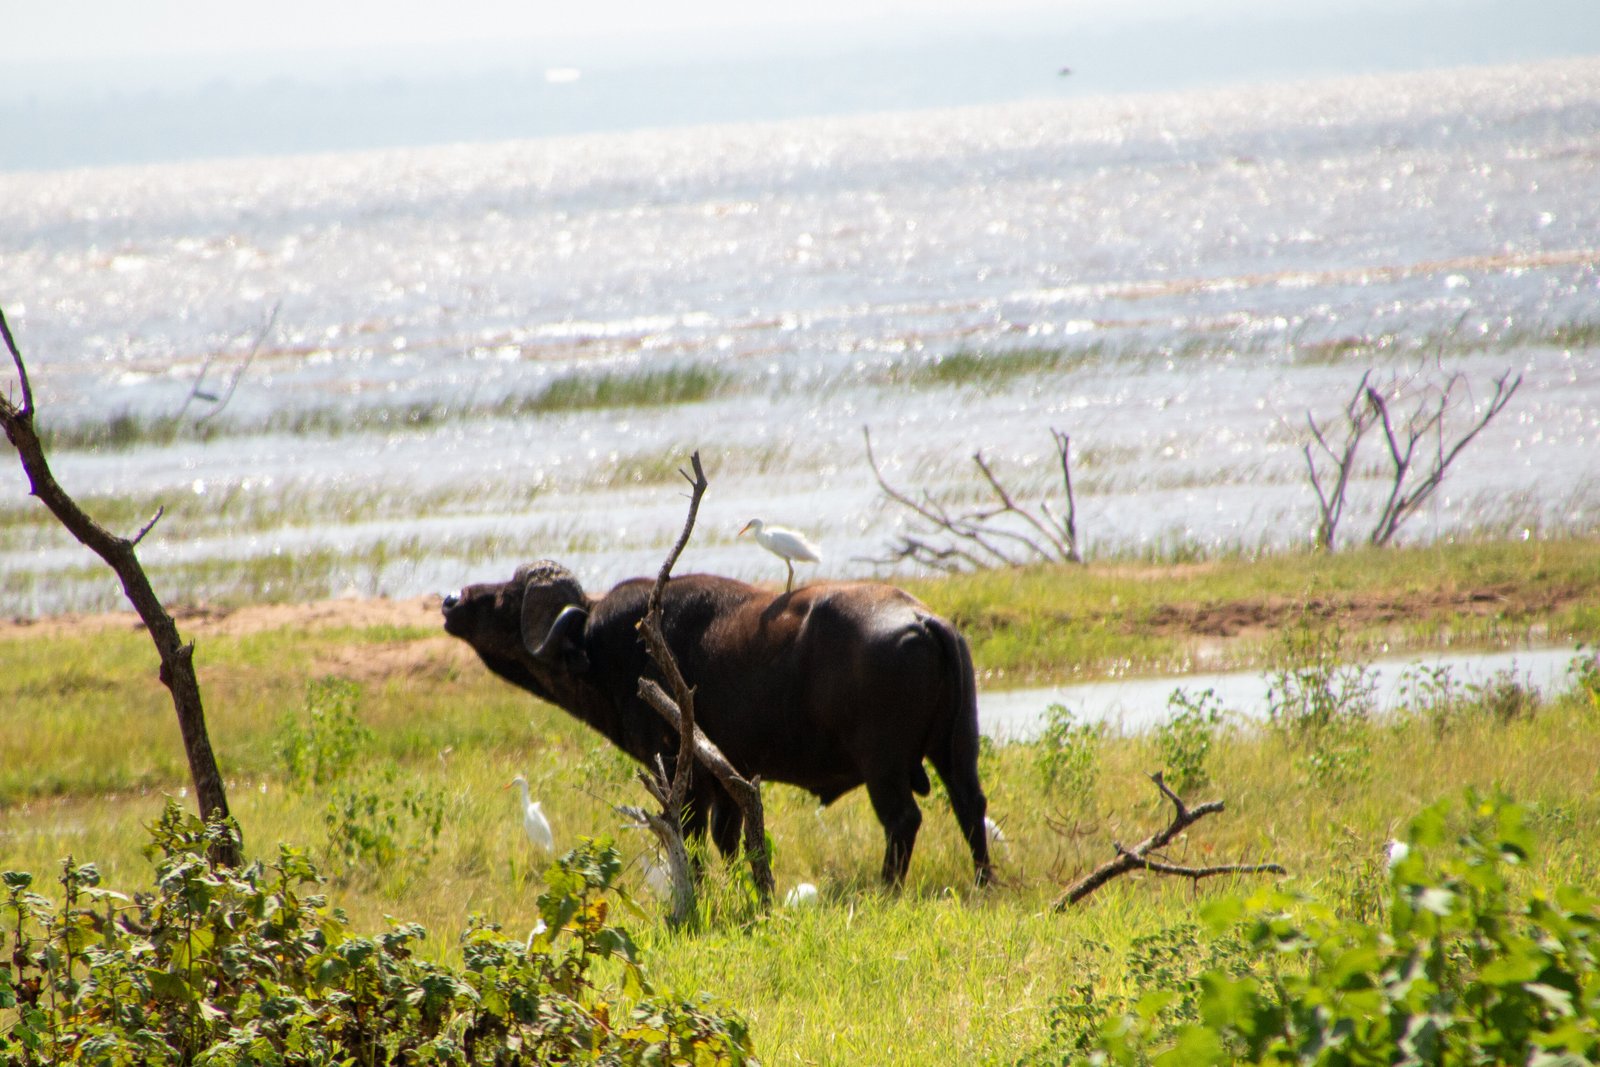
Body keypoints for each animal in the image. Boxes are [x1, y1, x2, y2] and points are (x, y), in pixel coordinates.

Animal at [441, 560, 992, 885]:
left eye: (507, 597)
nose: (450, 600)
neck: (604, 647)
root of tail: (926, 621)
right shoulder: (729, 781)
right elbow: (730, 841)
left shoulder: (679, 773)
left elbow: (688, 837)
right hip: (957, 751)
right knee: (971, 808)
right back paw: (983, 880)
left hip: (884, 766)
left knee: (903, 820)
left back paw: (887, 887)